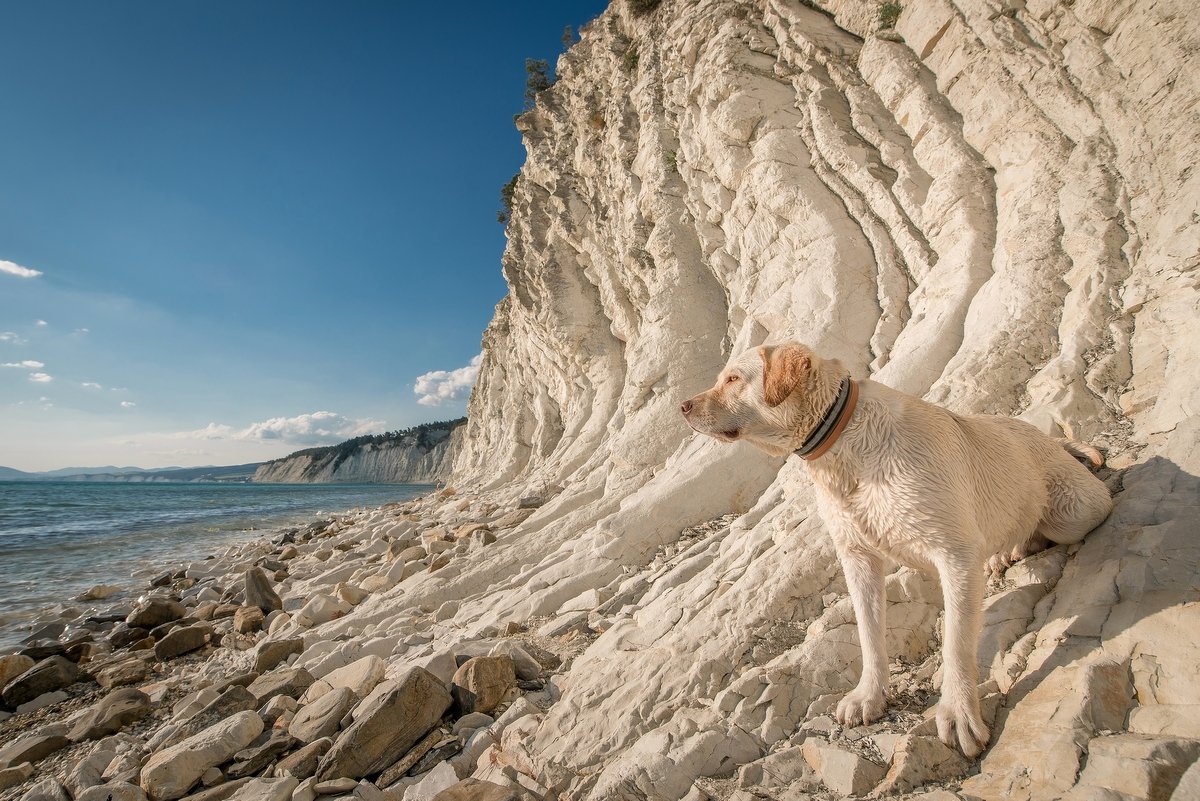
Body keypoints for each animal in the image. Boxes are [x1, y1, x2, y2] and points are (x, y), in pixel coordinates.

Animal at [681, 342, 1108, 757]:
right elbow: (870, 635)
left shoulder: (954, 554)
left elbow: (956, 643)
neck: (843, 446)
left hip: (1074, 511)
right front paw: (869, 696)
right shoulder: (858, 558)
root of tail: (1047, 438)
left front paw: (958, 713)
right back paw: (1004, 551)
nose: (683, 407)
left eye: (733, 378)